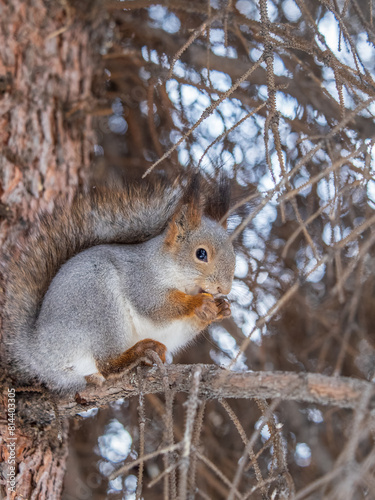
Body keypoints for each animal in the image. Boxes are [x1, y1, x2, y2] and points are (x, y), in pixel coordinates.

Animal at [2, 176, 236, 394]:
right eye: (201, 254)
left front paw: (221, 308)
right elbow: (155, 306)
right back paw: (137, 353)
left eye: (234, 255)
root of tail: (37, 351)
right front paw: (198, 303)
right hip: (99, 308)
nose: (224, 289)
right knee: (107, 364)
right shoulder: (140, 279)